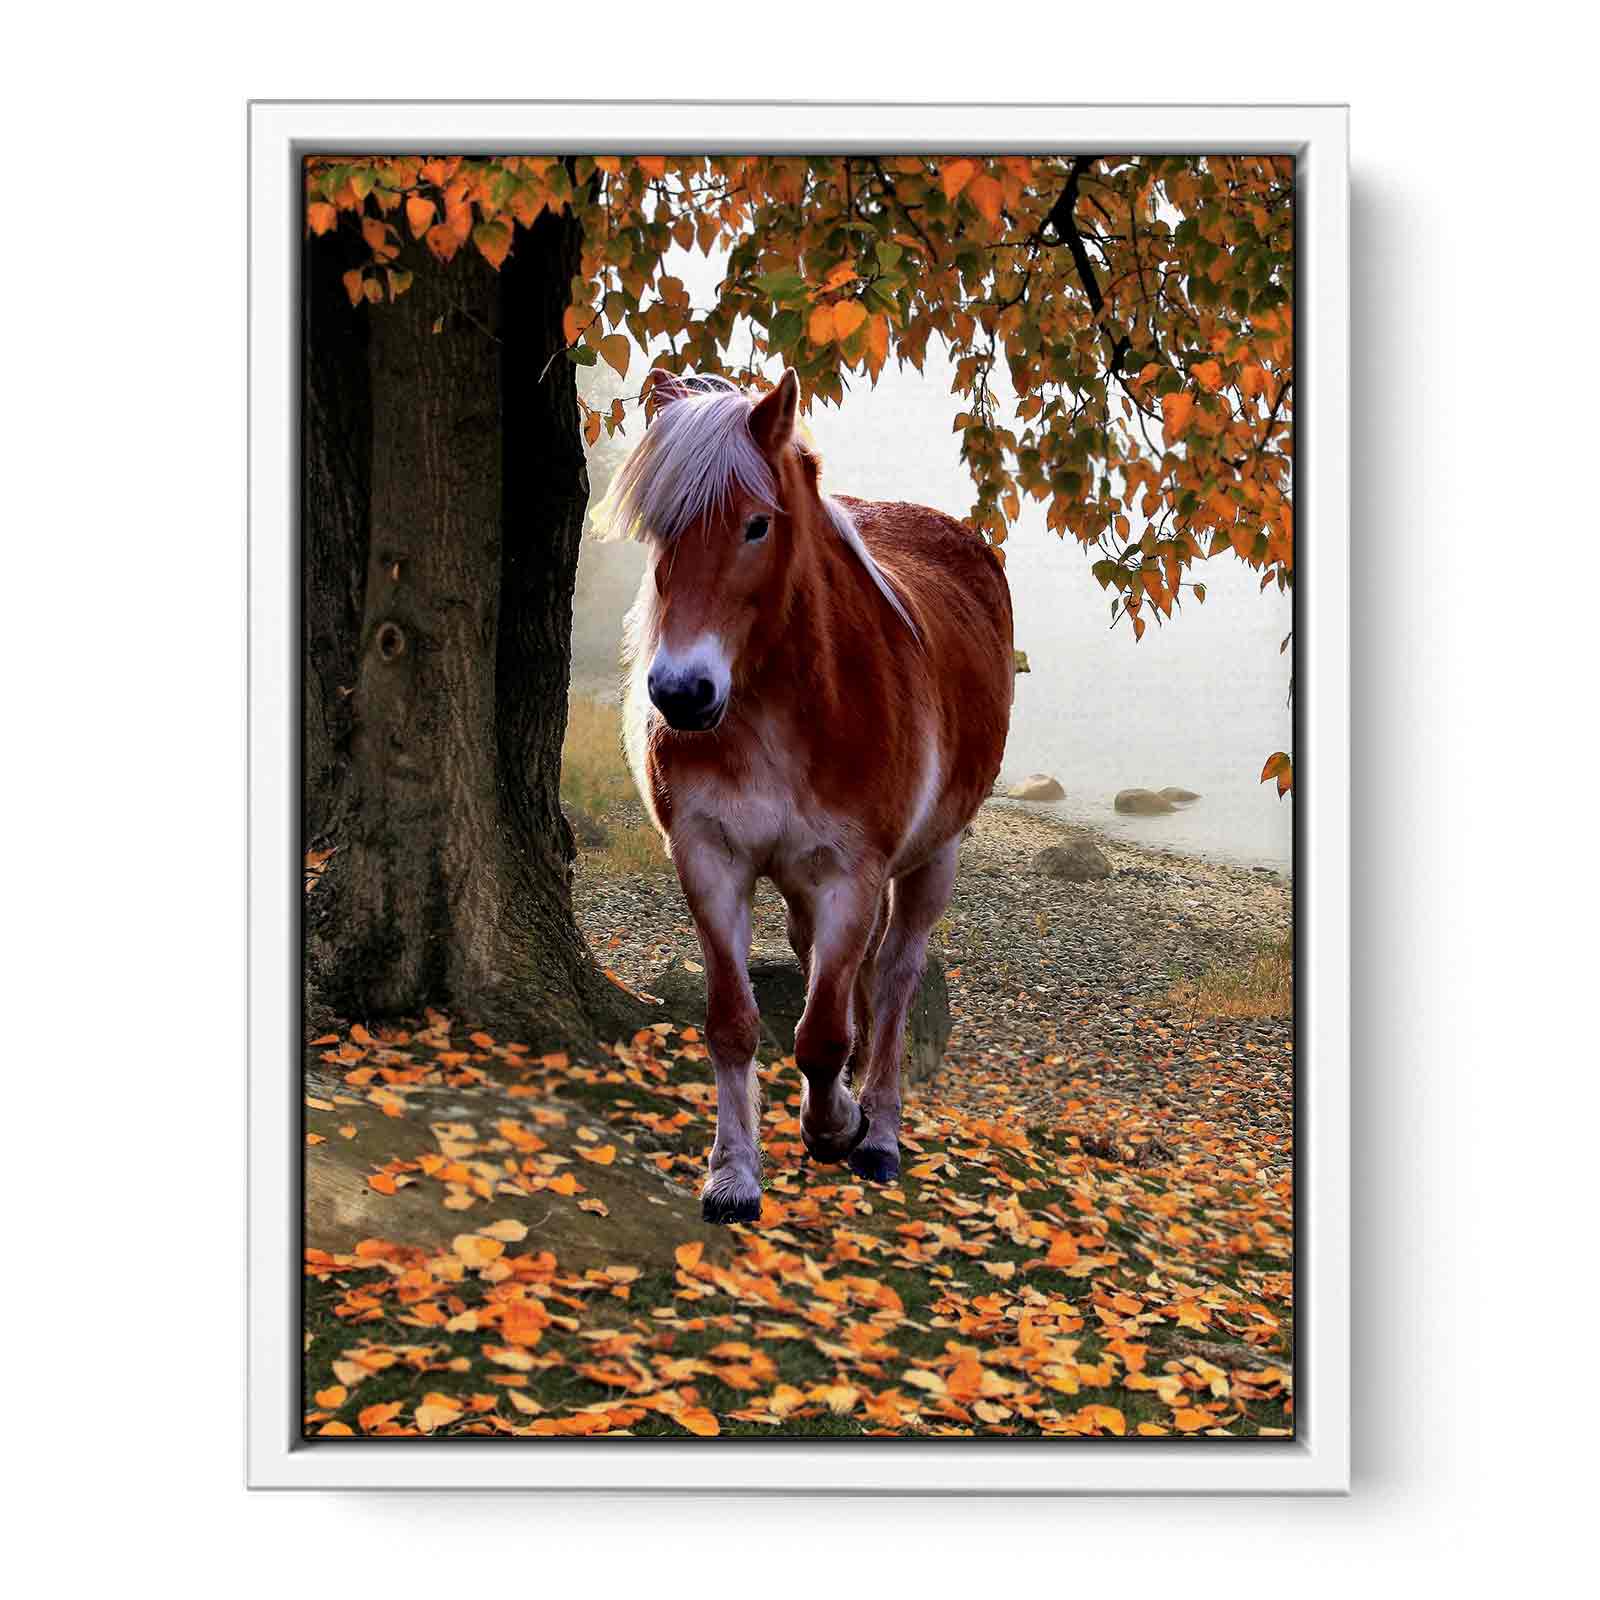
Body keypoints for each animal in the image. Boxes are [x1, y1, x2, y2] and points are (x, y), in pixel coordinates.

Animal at [596, 368, 1014, 1224]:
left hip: (935, 859)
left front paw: (836, 1126)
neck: (784, 710)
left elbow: (823, 1034)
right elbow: (733, 1023)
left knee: (894, 979)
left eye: (756, 526)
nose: (681, 694)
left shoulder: (850, 873)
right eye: (658, 529)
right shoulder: (710, 859)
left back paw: (878, 1131)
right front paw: (733, 1173)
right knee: (829, 964)